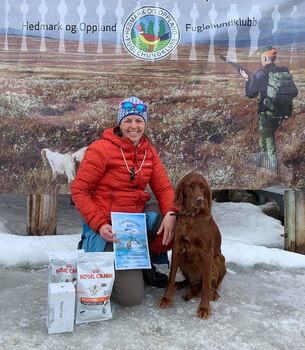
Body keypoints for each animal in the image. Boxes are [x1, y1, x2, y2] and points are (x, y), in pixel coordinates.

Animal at [159, 172, 226, 320]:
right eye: (190, 186)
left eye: (202, 187)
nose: (200, 200)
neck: (191, 218)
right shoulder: (177, 247)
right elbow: (171, 276)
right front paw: (166, 298)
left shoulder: (207, 253)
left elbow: (206, 285)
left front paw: (204, 308)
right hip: (184, 258)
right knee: (191, 282)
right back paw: (182, 286)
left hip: (218, 259)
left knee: (209, 285)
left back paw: (212, 294)